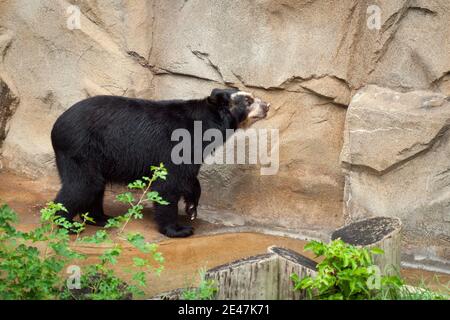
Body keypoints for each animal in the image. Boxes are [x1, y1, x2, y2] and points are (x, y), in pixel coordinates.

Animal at [52, 89, 270, 236]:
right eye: (248, 100)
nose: (267, 106)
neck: (206, 126)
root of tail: (56, 126)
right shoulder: (175, 145)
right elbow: (168, 184)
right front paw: (179, 229)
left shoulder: (192, 153)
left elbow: (189, 177)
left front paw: (192, 207)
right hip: (81, 149)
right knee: (84, 185)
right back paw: (66, 224)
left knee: (95, 186)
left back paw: (101, 218)